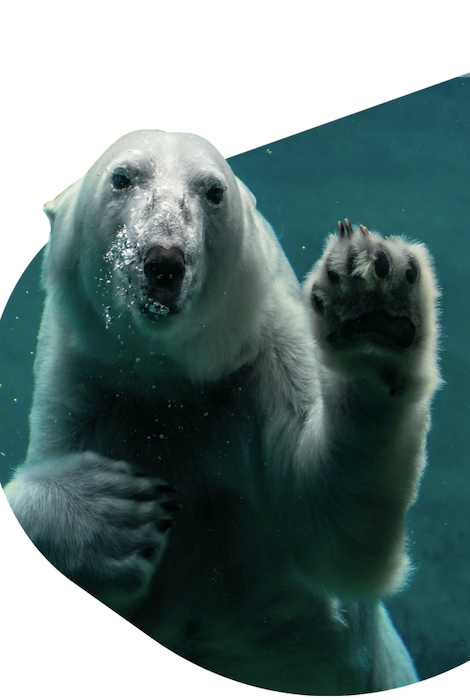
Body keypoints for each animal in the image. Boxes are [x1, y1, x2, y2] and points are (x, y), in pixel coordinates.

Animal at [4, 130, 441, 695]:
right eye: (122, 178)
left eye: (213, 191)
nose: (164, 261)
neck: (168, 374)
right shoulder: (85, 386)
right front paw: (112, 511)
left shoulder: (263, 356)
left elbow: (334, 527)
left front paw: (372, 303)